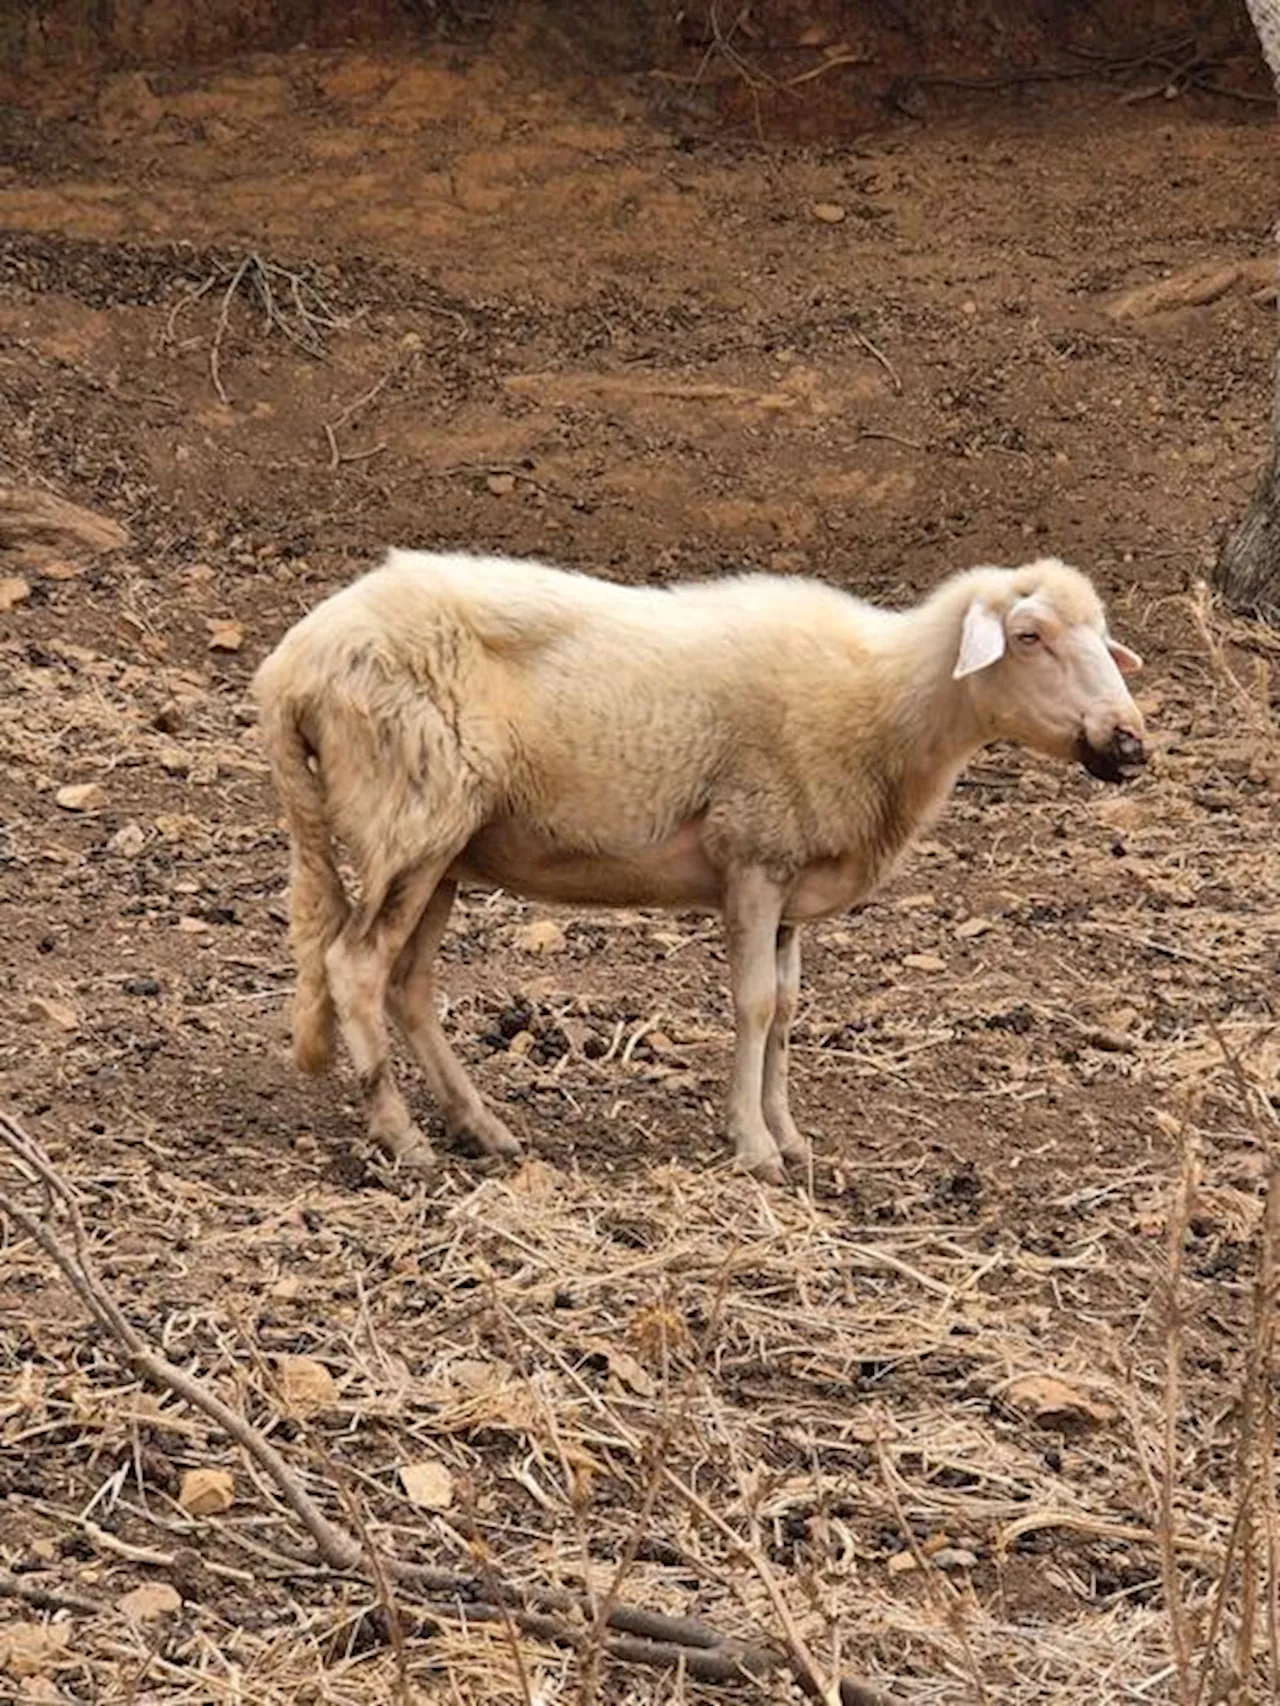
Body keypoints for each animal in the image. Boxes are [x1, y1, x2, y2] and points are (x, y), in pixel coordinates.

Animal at [252, 552, 1153, 1180]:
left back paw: (484, 1128)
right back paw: (402, 1137)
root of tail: (291, 664)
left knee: (405, 984)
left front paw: (790, 1136)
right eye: (1029, 638)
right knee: (354, 967)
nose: (1129, 742)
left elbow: (787, 1012)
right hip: (408, 815)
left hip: (440, 845)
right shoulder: (753, 855)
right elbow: (753, 1006)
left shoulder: (792, 880)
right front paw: (753, 1145)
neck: (885, 701)